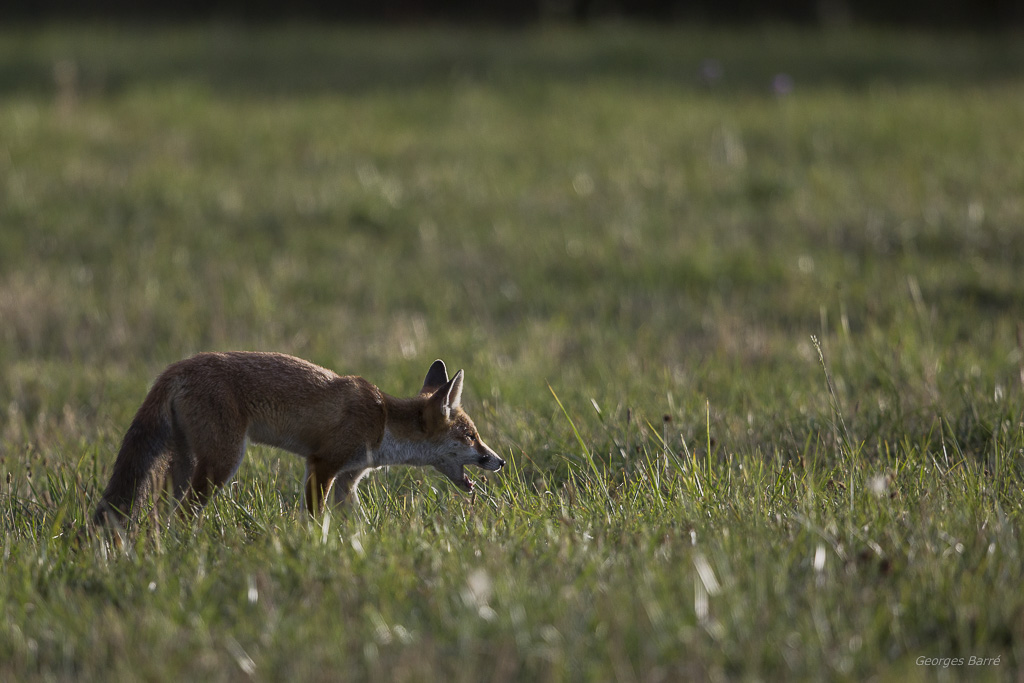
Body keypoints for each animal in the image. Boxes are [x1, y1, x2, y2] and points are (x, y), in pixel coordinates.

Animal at [92, 352, 505, 526]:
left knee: (164, 512)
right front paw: (314, 546)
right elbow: (315, 518)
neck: (383, 421)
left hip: (185, 462)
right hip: (223, 461)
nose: (499, 460)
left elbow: (357, 521)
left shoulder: (348, 479)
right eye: (471, 437)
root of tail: (176, 367)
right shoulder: (322, 465)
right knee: (184, 512)